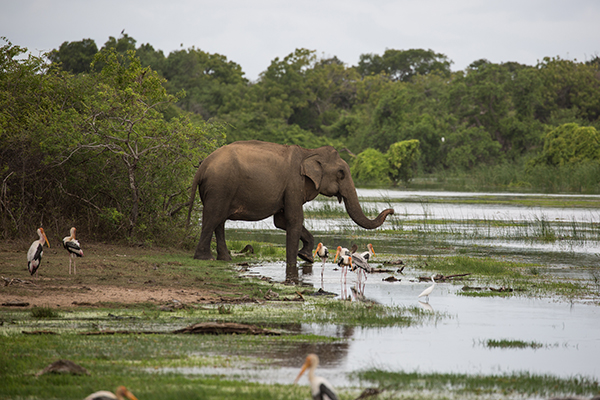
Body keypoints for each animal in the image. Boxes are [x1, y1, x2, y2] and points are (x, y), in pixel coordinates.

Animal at [188, 142, 394, 280]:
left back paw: (225, 259)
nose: (391, 210)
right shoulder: (294, 183)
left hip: (218, 189)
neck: (310, 152)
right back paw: (206, 259)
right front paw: (295, 264)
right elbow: (293, 219)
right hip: (220, 186)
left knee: (219, 220)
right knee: (213, 217)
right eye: (341, 173)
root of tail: (202, 166)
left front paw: (306, 256)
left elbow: (281, 222)